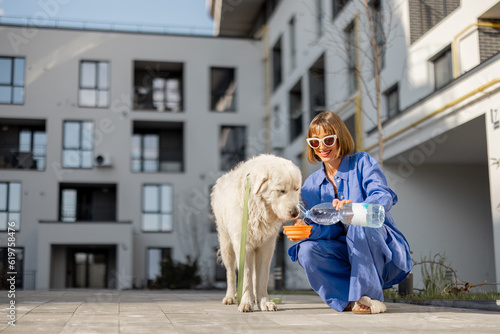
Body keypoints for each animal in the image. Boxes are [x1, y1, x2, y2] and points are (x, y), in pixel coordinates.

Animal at [210, 155, 300, 312]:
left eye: (296, 189)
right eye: (281, 191)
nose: (295, 212)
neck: (258, 207)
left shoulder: (266, 247)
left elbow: (261, 278)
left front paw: (264, 302)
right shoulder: (243, 245)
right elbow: (245, 277)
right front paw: (246, 303)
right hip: (227, 244)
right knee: (230, 272)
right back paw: (231, 297)